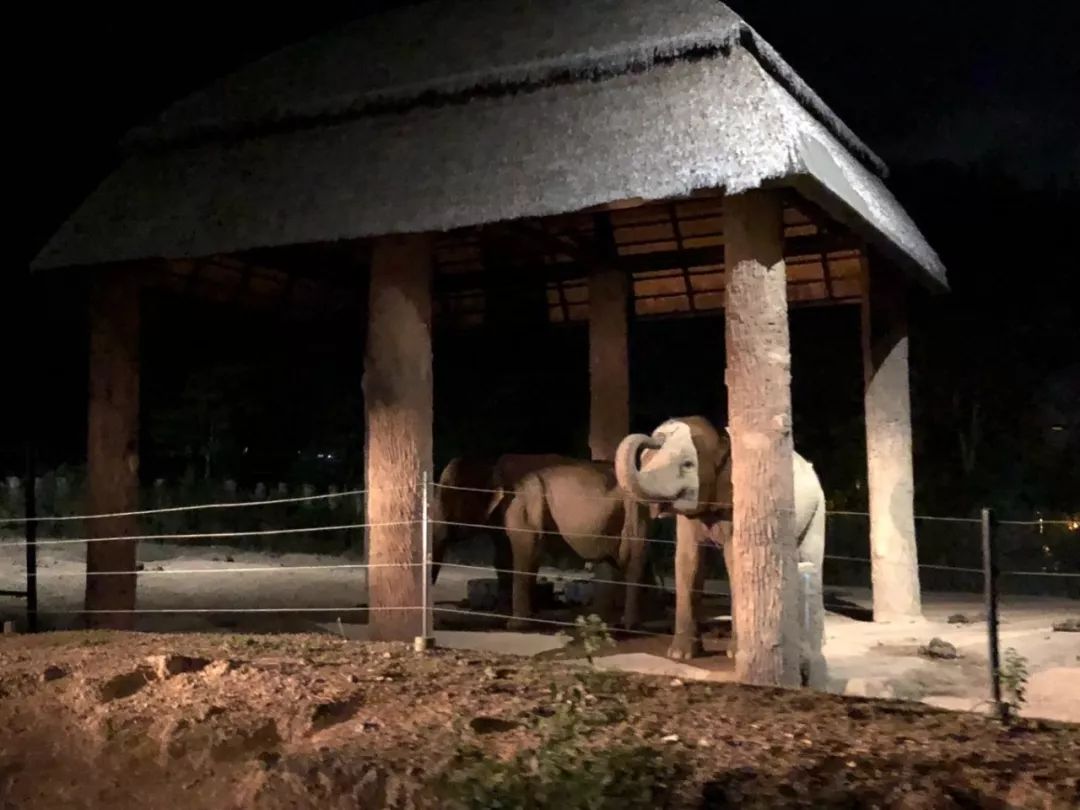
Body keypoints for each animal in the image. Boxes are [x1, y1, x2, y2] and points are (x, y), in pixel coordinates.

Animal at [617, 414, 825, 686]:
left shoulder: (735, 502)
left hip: (818, 508)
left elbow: (734, 561)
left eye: (687, 464)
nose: (655, 437)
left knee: (812, 560)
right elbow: (687, 561)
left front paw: (733, 654)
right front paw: (680, 654)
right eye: (648, 460)